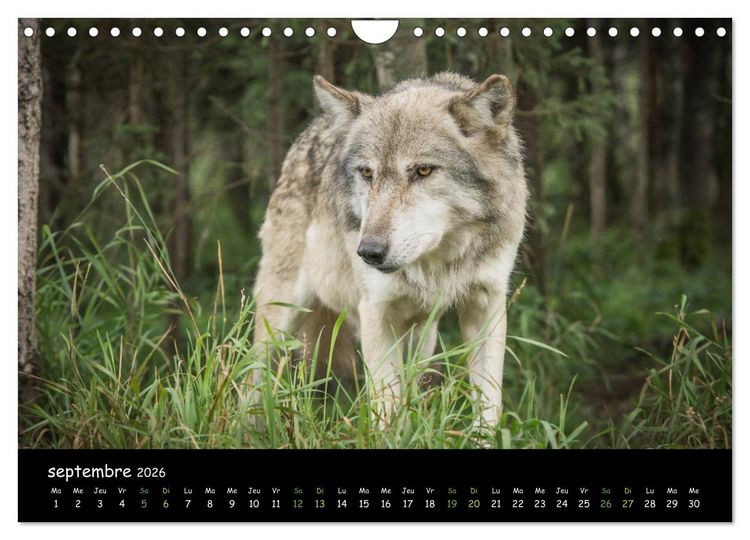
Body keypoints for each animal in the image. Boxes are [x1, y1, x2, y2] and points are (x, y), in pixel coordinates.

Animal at [252, 72, 528, 427]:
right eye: (367, 173)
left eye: (422, 171)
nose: (368, 251)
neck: (439, 261)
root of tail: (314, 127)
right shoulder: (377, 312)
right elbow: (387, 411)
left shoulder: (486, 303)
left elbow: (489, 405)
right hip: (280, 316)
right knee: (248, 377)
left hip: (422, 337)